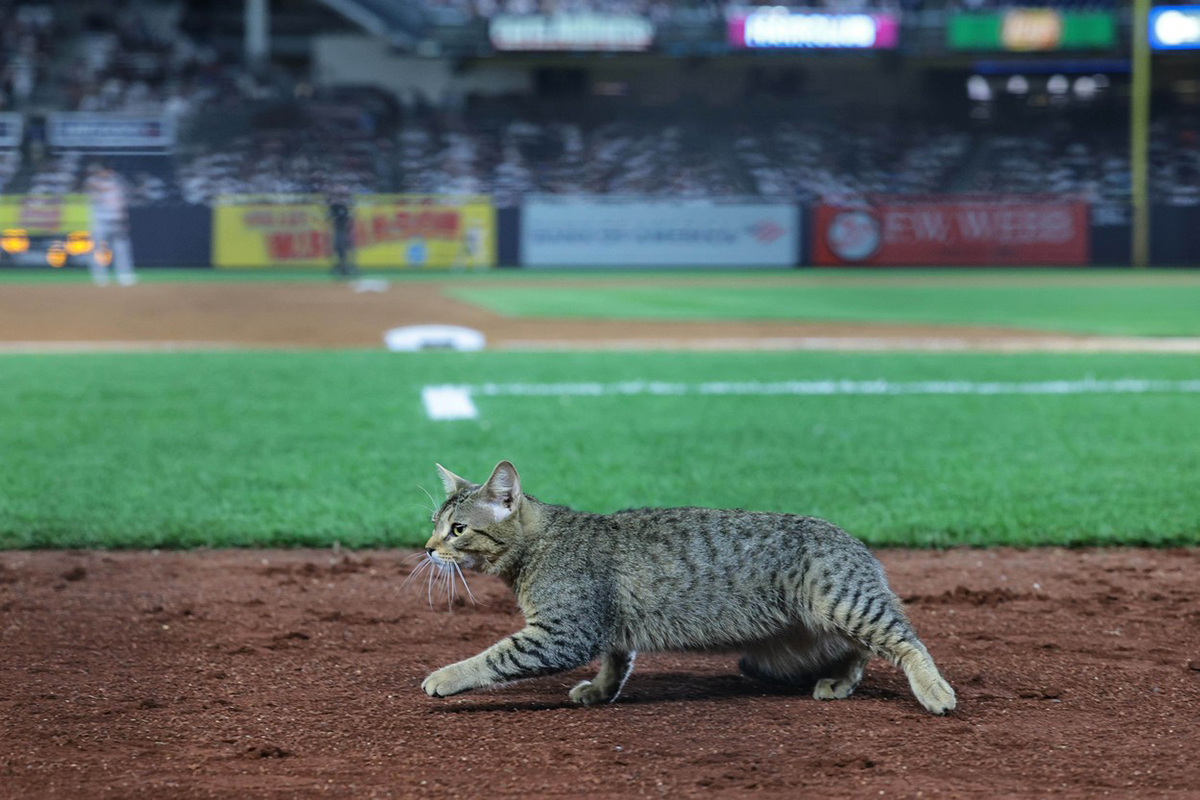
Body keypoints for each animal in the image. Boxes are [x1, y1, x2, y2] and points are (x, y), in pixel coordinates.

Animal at [422, 460, 955, 714]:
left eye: (457, 529)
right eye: (433, 523)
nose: (427, 548)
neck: (538, 545)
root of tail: (856, 542)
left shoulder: (563, 631)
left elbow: (491, 657)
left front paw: (446, 676)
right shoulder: (606, 629)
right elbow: (616, 663)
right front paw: (601, 690)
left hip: (844, 602)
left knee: (906, 641)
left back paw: (933, 689)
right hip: (801, 637)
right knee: (857, 650)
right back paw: (842, 680)